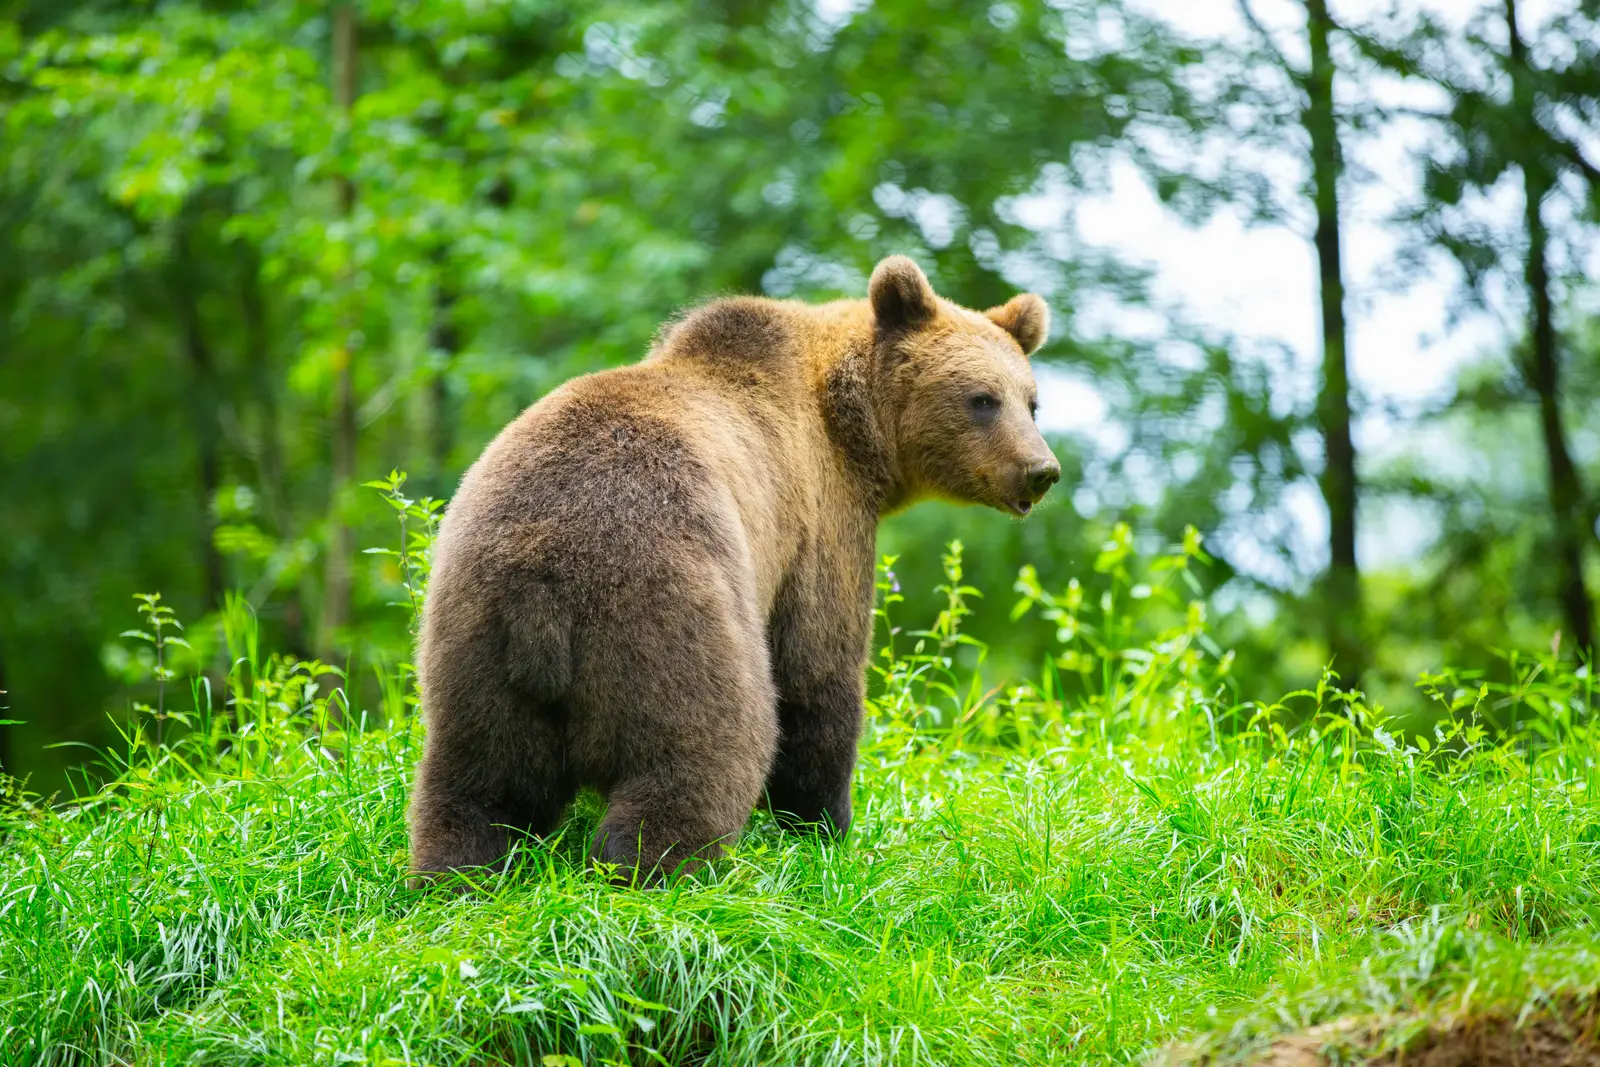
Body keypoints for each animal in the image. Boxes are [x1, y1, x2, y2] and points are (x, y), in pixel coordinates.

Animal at [408, 255, 1059, 885]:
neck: (853, 429)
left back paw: (457, 875)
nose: (1041, 470)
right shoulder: (819, 521)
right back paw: (657, 871)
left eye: (1031, 401)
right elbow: (818, 671)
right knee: (709, 743)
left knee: (481, 784)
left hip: (474, 637)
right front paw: (827, 827)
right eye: (982, 398)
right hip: (664, 600)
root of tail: (542, 581)